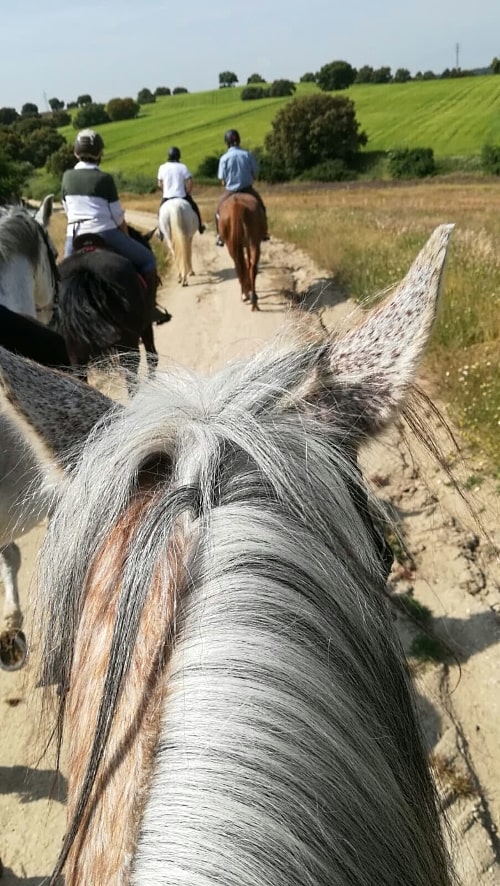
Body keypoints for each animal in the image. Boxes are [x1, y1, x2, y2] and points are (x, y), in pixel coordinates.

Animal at [57, 225, 171, 386]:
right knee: (131, 376)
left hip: (75, 352)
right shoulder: (146, 326)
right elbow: (152, 357)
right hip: (129, 343)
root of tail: (83, 272)